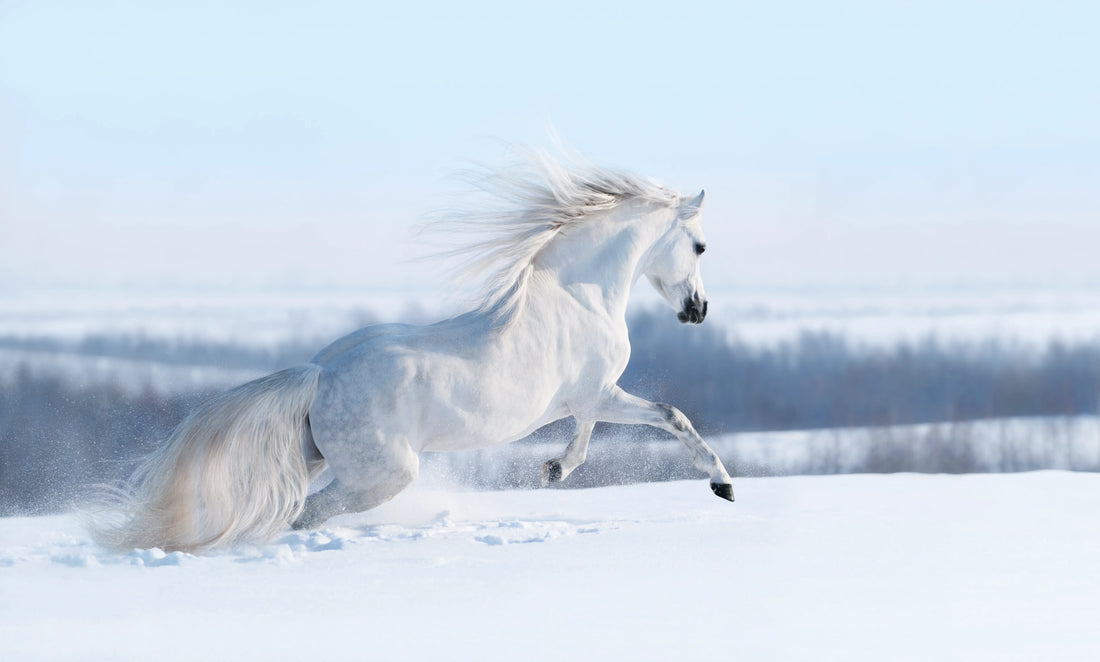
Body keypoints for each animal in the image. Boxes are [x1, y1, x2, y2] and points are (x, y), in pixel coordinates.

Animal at [92, 150, 730, 552]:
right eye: (700, 246)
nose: (697, 310)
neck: (579, 294)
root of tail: (319, 373)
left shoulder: (587, 399)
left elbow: (595, 434)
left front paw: (553, 469)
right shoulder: (598, 392)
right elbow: (669, 416)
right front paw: (721, 482)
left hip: (318, 457)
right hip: (384, 474)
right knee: (306, 514)